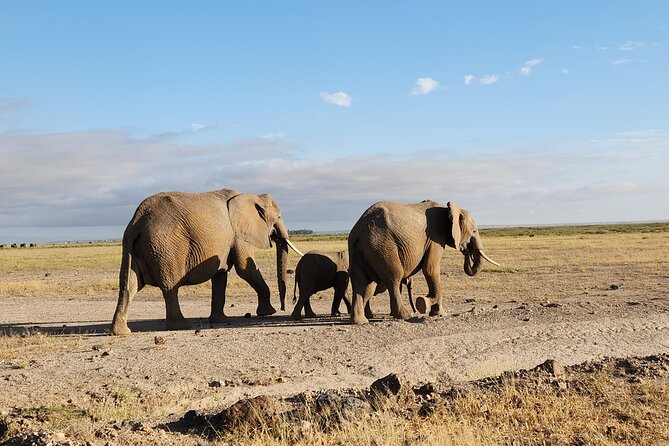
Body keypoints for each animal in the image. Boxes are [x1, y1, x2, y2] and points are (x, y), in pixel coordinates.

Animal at [110, 189, 303, 335]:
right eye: (278, 217)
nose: (284, 307)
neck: (252, 195)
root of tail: (136, 222)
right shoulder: (237, 234)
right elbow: (245, 269)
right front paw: (267, 312)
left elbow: (221, 274)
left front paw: (221, 320)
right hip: (165, 248)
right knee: (170, 287)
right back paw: (182, 326)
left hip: (132, 247)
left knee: (128, 285)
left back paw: (121, 332)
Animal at [348, 200, 499, 324]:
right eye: (474, 231)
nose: (467, 251)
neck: (448, 209)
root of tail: (358, 233)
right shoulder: (435, 237)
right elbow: (431, 269)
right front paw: (438, 313)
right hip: (383, 247)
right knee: (393, 278)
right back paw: (405, 315)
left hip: (358, 251)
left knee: (361, 282)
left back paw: (361, 321)